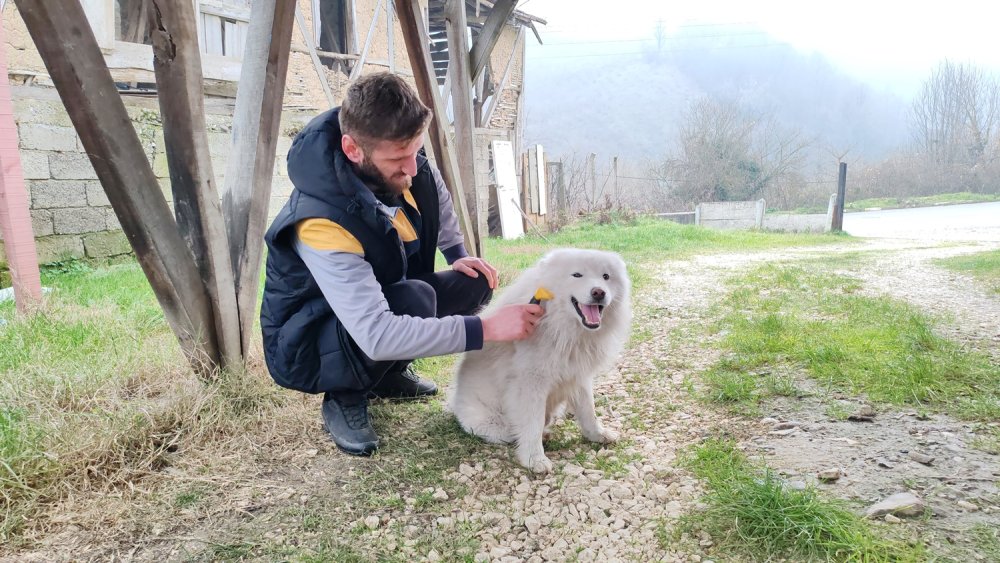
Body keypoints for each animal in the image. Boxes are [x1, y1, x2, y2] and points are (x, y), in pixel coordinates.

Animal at [448, 249, 628, 474]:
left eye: (606, 277)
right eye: (577, 275)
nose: (599, 292)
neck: (562, 328)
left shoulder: (578, 377)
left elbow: (588, 411)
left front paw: (597, 435)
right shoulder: (531, 383)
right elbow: (531, 423)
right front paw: (535, 459)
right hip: (493, 422)